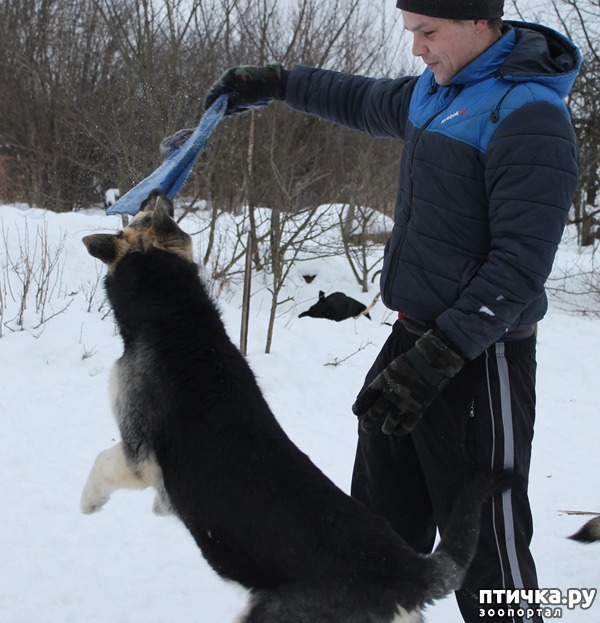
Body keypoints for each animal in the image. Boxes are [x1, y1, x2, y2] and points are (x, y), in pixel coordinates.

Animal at [79, 191, 508, 623]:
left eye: (141, 214)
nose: (159, 194)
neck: (177, 312)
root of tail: (406, 571)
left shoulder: (136, 451)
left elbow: (100, 463)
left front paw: (89, 502)